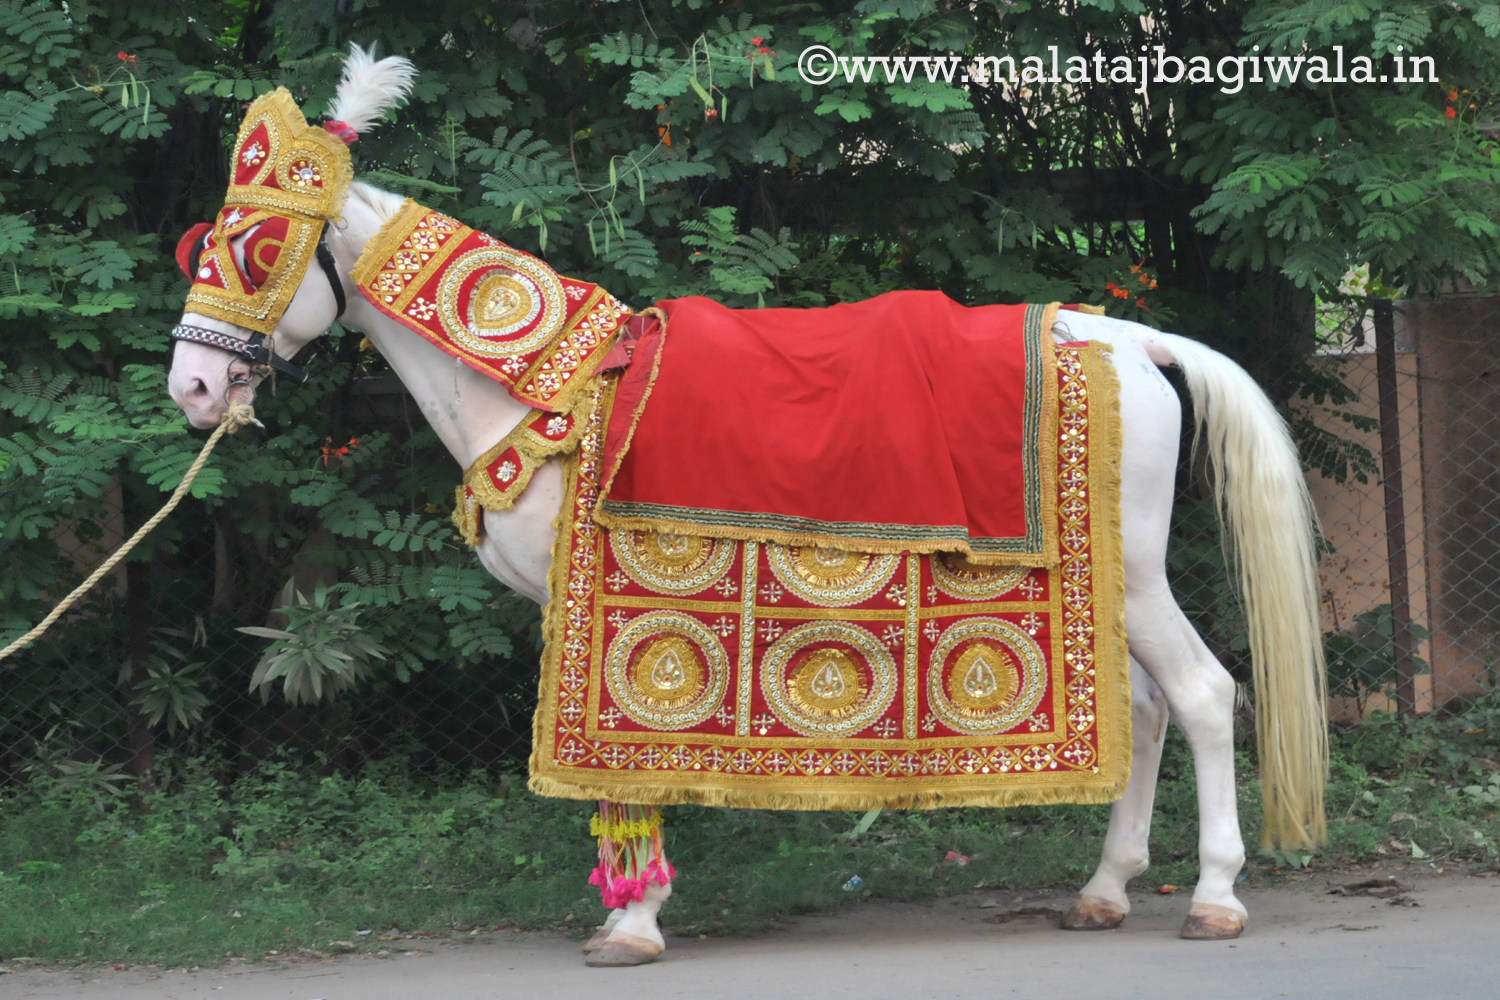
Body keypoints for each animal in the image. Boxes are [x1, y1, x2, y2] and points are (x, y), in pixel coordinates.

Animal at [166, 46, 1326, 966]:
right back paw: (1104, 890)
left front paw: (634, 923)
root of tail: (1140, 341)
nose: (194, 388)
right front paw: (630, 913)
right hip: (1101, 584)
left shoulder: (591, 610)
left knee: (1205, 693)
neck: (548, 389)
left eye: (255, 249)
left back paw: (1215, 897)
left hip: (1131, 576)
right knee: (1147, 705)